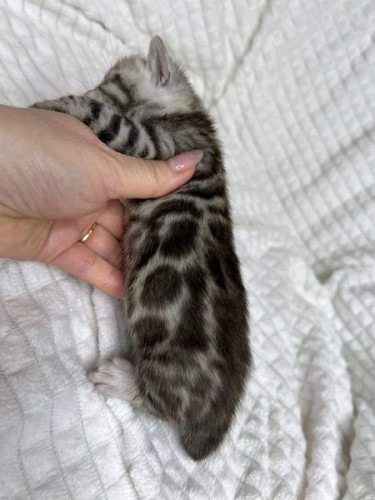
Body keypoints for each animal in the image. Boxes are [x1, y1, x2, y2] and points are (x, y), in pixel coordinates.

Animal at [33, 36, 250, 460]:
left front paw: (60, 103)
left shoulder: (160, 145)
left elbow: (110, 120)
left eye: (113, 81)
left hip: (166, 365)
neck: (186, 112)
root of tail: (223, 406)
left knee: (159, 402)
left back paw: (119, 379)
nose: (92, 87)